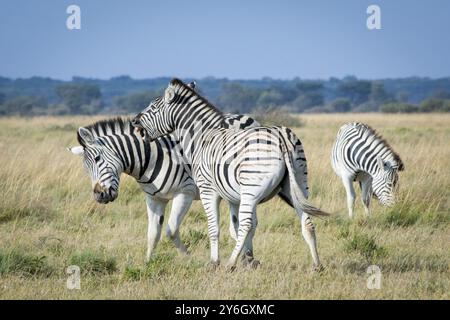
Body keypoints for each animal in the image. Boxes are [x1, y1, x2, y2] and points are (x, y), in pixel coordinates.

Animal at [68, 110, 262, 262]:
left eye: (97, 159)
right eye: (86, 169)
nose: (99, 196)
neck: (150, 157)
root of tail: (247, 117)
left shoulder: (185, 193)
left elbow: (171, 230)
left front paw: (189, 258)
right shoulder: (155, 198)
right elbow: (153, 233)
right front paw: (147, 264)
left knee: (250, 223)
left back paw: (249, 258)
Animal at [130, 79, 326, 272]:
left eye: (153, 107)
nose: (134, 121)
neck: (201, 137)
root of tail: (281, 138)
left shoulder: (207, 190)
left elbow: (215, 227)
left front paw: (214, 262)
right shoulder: (233, 196)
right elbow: (235, 227)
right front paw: (249, 261)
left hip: (252, 188)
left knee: (246, 224)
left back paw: (229, 264)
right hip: (297, 183)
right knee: (307, 221)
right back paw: (317, 265)